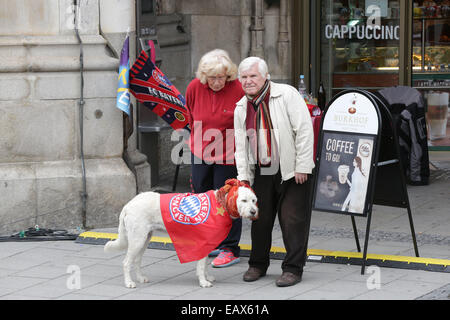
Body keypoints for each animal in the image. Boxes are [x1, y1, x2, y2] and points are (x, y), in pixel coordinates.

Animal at [103, 180, 256, 288]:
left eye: (254, 200)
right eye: (243, 200)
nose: (254, 212)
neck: (221, 203)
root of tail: (128, 205)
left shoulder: (207, 244)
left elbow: (205, 264)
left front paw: (206, 277)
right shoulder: (203, 243)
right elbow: (201, 265)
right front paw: (203, 282)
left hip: (144, 239)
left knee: (136, 261)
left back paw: (140, 278)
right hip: (137, 240)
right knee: (126, 262)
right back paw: (129, 283)